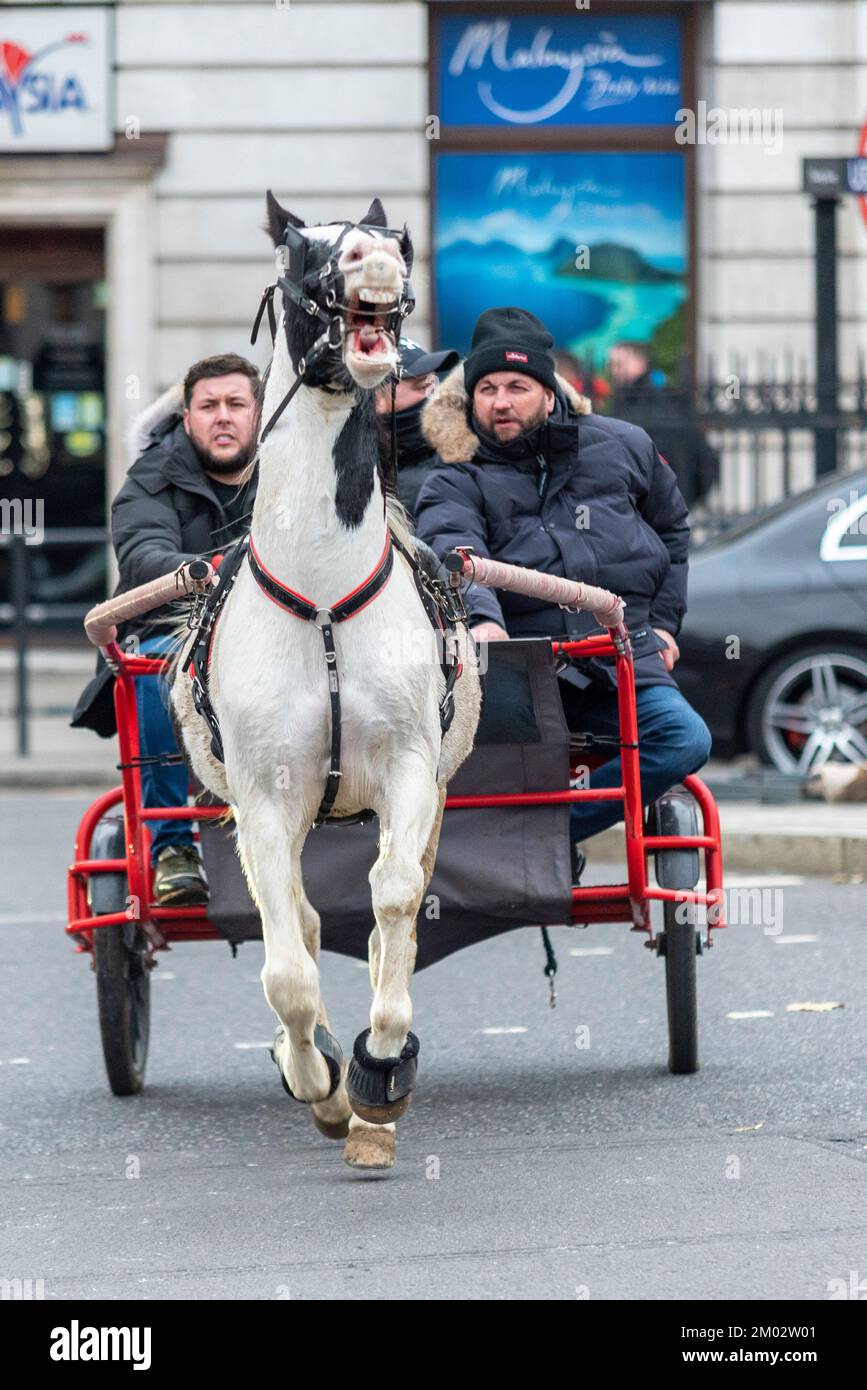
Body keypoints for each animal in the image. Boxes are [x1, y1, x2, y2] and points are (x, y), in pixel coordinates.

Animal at [169, 195, 480, 1167]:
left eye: (392, 237)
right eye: (302, 247)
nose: (376, 254)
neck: (322, 603)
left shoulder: (413, 770)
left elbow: (393, 899)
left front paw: (381, 1068)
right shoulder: (265, 795)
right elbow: (288, 970)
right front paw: (319, 1081)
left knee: (391, 907)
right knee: (299, 927)